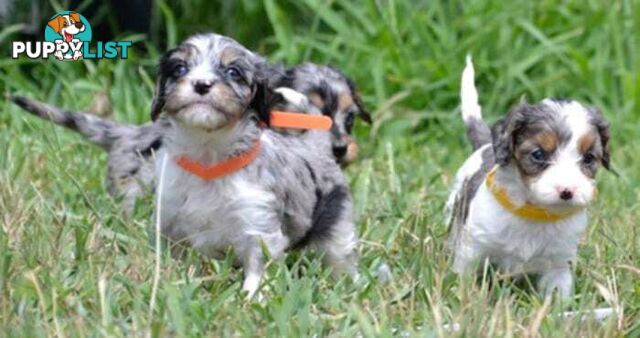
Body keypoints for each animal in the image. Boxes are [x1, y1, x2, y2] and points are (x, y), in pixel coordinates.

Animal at [448, 57, 612, 298]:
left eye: (589, 158)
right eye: (538, 154)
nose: (567, 191)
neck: (535, 212)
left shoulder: (559, 263)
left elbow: (556, 294)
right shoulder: (472, 249)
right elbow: (464, 279)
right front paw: (466, 298)